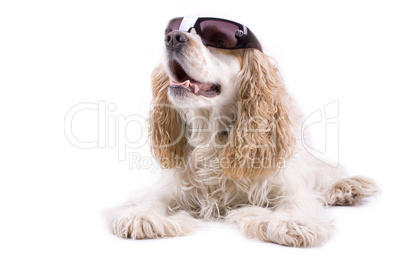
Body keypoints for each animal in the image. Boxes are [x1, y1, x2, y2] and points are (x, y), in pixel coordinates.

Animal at [105, 16, 378, 247]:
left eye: (217, 40)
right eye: (175, 29)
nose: (173, 37)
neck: (213, 133)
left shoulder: (286, 182)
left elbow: (294, 200)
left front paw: (288, 222)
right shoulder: (174, 185)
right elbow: (153, 198)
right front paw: (140, 215)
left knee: (324, 174)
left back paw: (346, 188)